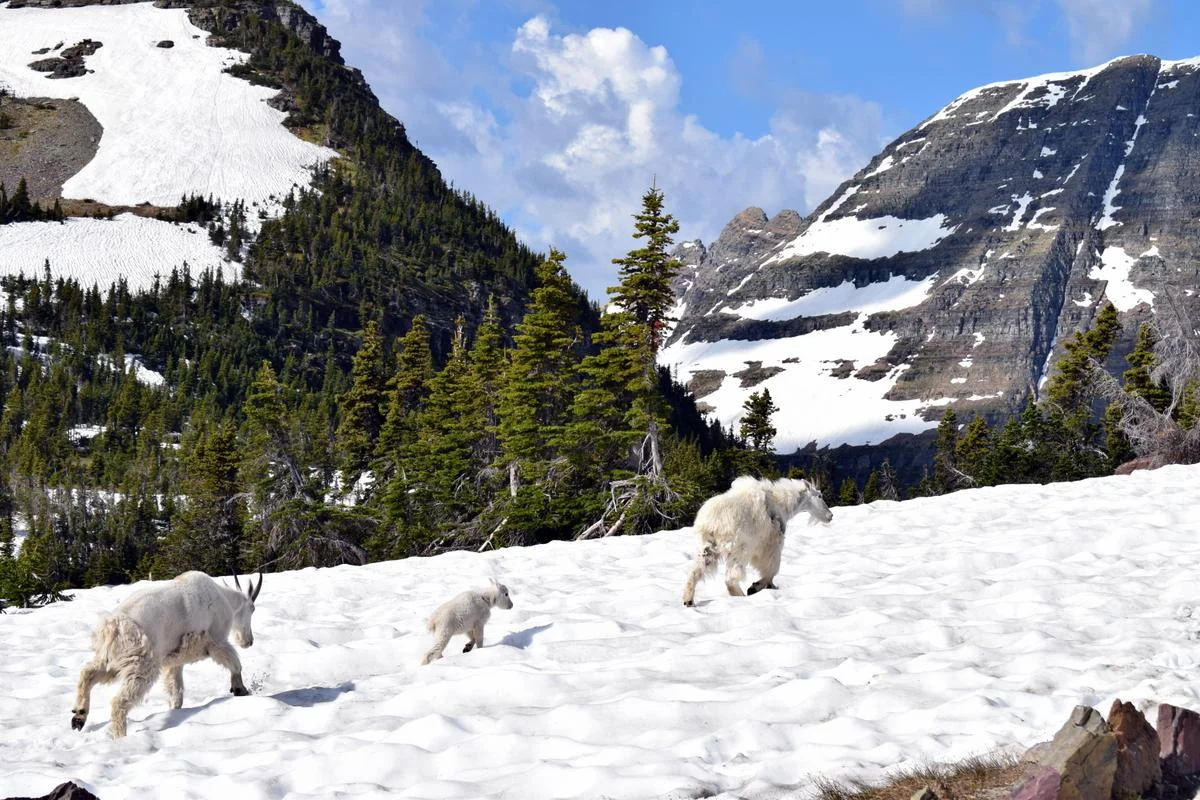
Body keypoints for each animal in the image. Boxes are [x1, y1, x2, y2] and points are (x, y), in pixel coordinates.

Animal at [71, 570, 263, 737]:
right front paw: (240, 689)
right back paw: (120, 737)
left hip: (110, 660)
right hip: (141, 664)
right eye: (252, 609)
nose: (248, 641)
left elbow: (175, 690)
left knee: (87, 674)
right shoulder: (216, 641)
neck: (225, 598)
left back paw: (79, 717)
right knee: (119, 702)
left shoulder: (174, 660)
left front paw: (175, 709)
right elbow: (234, 662)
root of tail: (113, 626)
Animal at [682, 476, 832, 606]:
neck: (783, 502)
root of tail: (711, 523)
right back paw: (742, 595)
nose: (830, 515)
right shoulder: (772, 542)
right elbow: (772, 568)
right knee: (731, 577)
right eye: (819, 495)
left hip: (707, 547)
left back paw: (688, 600)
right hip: (739, 548)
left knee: (695, 571)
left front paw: (771, 586)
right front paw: (756, 587)